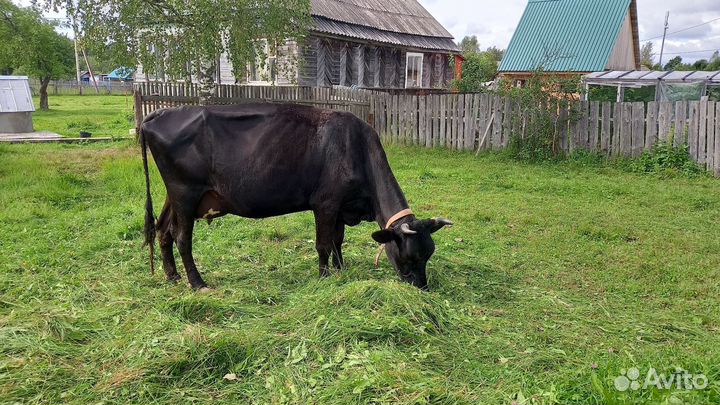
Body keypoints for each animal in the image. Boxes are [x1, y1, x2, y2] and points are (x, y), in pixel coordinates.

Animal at [140, 103, 452, 290]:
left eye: (429, 255)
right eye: (409, 257)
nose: (422, 287)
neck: (357, 149)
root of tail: (159, 114)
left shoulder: (341, 205)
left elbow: (338, 240)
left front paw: (341, 269)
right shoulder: (325, 203)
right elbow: (324, 243)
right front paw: (325, 276)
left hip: (176, 195)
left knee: (163, 230)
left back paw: (172, 275)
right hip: (185, 192)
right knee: (182, 238)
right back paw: (197, 282)